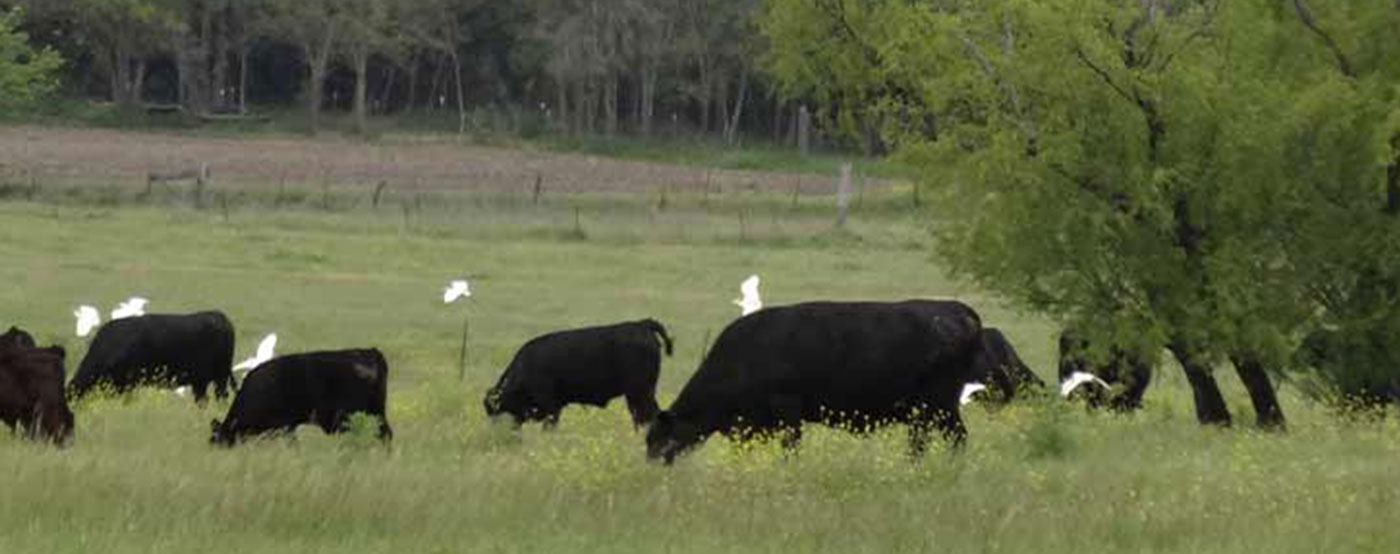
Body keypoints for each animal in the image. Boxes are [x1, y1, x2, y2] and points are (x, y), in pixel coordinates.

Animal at [68, 311, 235, 404]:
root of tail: (219, 316)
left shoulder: (128, 384)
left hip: (220, 376)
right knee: (203, 400)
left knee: (221, 397)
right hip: (200, 380)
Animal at [210, 348, 392, 446]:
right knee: (385, 433)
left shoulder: (284, 426)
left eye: (218, 440)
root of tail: (369, 352)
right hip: (377, 412)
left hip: (349, 417)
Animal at [645, 300, 985, 464]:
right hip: (929, 411)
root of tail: (956, 310)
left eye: (659, 438)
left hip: (936, 406)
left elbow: (791, 447)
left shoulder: (788, 409)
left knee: (950, 439)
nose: (652, 466)